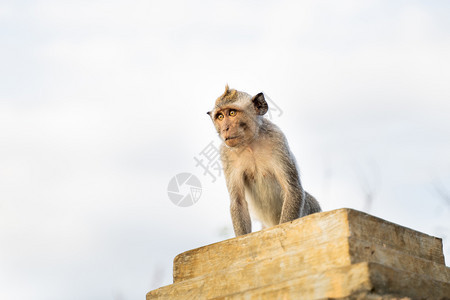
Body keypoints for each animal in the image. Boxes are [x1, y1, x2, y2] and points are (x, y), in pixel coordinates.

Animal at [207, 85, 320, 237]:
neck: (250, 144)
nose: (225, 128)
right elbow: (238, 201)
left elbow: (292, 190)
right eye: (220, 117)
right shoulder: (225, 154)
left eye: (231, 113)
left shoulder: (277, 138)